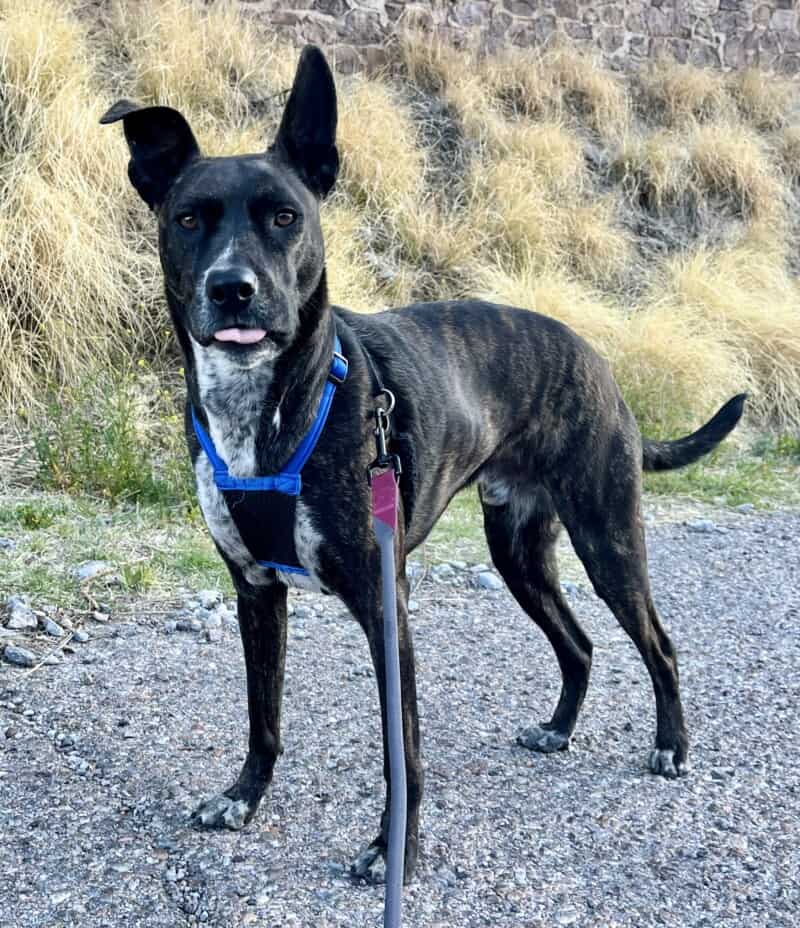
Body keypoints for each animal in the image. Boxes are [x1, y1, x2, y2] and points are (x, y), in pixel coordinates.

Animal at [103, 45, 748, 884]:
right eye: (188, 219)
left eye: (285, 216)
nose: (233, 289)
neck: (266, 408)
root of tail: (595, 355)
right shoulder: (255, 592)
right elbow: (262, 716)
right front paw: (243, 798)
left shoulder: (386, 605)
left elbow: (400, 750)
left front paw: (393, 851)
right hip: (519, 553)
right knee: (578, 643)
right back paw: (559, 728)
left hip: (606, 536)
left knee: (658, 643)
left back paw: (671, 746)